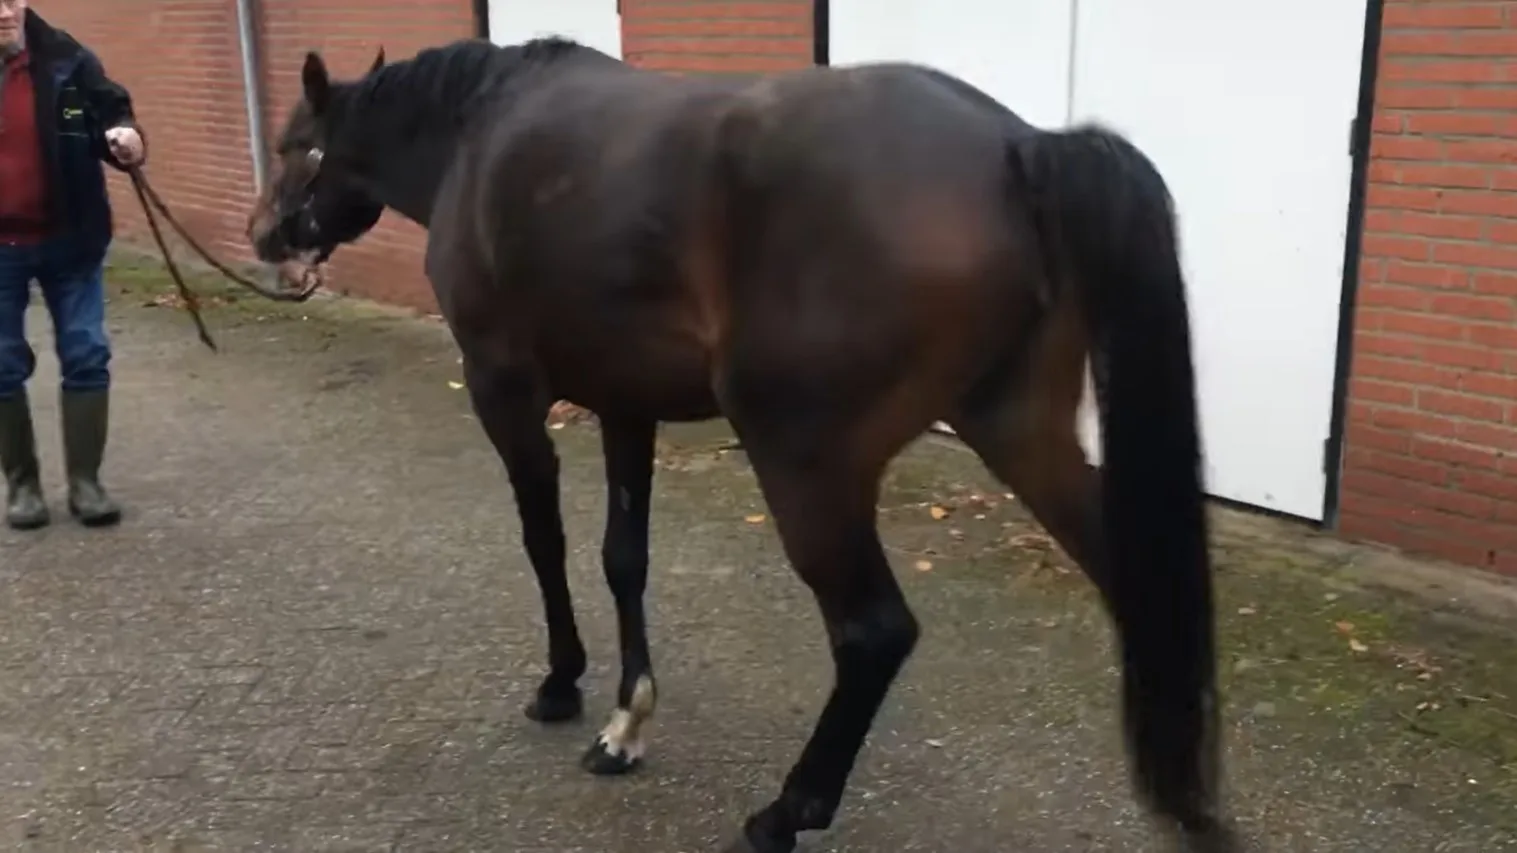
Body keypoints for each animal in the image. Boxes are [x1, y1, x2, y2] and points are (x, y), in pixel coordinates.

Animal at [245, 36, 1235, 853]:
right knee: (1134, 582)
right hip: (1016, 430)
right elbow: (623, 556)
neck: (477, 136)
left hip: (806, 465)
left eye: (296, 144)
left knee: (874, 631)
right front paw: (626, 723)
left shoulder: (503, 389)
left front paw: (563, 684)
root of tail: (1017, 147)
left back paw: (786, 811)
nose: (262, 235)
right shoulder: (625, 402)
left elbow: (544, 540)